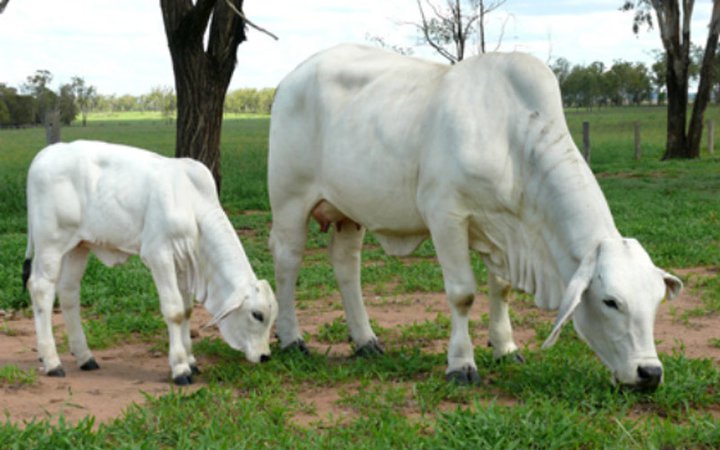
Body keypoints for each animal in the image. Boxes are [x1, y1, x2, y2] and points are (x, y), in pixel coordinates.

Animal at [24, 141, 278, 384]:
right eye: (257, 315)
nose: (265, 356)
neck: (191, 202)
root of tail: (45, 154)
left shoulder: (183, 263)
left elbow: (187, 310)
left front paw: (191, 360)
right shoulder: (159, 255)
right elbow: (174, 311)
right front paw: (180, 367)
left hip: (78, 245)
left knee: (68, 293)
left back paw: (84, 357)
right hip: (50, 243)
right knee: (41, 288)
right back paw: (52, 362)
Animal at [268, 44, 684, 390]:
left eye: (656, 302)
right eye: (611, 302)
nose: (650, 373)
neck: (512, 140)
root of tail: (292, 78)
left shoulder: (502, 231)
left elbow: (501, 289)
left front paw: (505, 348)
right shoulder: (446, 215)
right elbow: (462, 294)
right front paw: (461, 364)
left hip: (348, 211)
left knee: (346, 266)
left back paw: (365, 340)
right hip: (290, 200)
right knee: (288, 262)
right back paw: (292, 338)